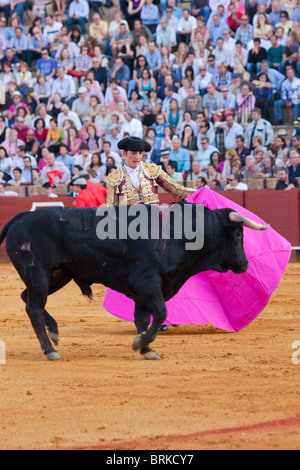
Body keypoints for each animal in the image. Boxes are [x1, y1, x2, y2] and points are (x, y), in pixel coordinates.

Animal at [0, 201, 270, 360]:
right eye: (239, 234)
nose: (245, 264)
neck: (178, 234)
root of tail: (21, 217)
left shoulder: (146, 290)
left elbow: (143, 318)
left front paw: (147, 349)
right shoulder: (147, 283)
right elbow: (160, 313)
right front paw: (140, 342)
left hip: (58, 274)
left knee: (28, 299)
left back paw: (54, 332)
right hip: (38, 273)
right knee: (34, 307)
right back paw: (50, 350)